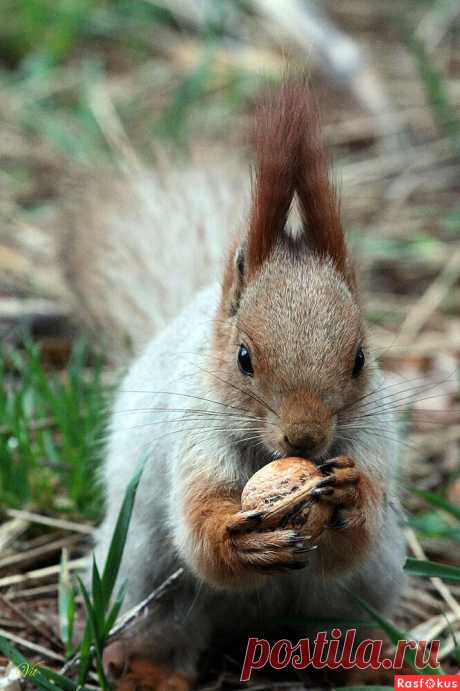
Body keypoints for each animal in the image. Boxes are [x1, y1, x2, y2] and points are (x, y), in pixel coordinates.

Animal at [72, 78, 406, 688]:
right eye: (244, 357)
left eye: (360, 358)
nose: (305, 438)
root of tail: (254, 628)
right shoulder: (195, 438)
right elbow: (200, 533)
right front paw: (239, 538)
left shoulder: (372, 439)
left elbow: (351, 544)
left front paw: (349, 495)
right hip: (144, 575)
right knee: (168, 627)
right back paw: (147, 670)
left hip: (368, 586)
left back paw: (364, 665)